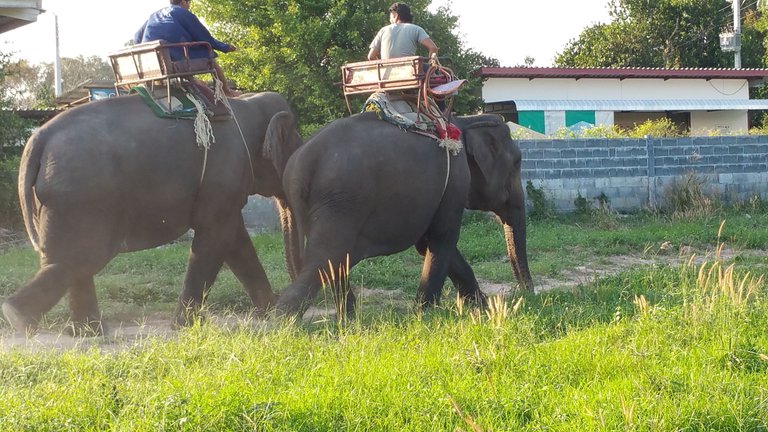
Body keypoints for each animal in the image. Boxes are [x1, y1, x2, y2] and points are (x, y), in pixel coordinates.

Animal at [2, 90, 304, 334]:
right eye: (296, 147)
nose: (292, 307)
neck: (246, 103)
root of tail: (38, 139)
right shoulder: (223, 177)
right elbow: (215, 237)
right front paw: (186, 326)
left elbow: (233, 238)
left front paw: (270, 312)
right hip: (81, 198)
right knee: (81, 257)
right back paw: (20, 318)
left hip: (61, 201)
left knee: (67, 259)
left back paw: (84, 332)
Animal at [276, 111, 536, 314]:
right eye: (517, 162)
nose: (527, 295)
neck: (464, 122)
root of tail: (297, 167)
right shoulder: (455, 180)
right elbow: (444, 237)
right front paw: (425, 313)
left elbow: (427, 243)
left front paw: (481, 307)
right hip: (340, 204)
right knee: (324, 261)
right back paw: (282, 326)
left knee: (334, 264)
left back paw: (347, 320)